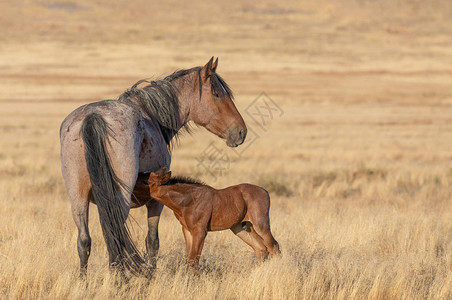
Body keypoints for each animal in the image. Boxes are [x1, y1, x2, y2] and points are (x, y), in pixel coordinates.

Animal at [59, 56, 247, 276]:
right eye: (217, 94)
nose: (241, 131)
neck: (151, 115)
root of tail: (93, 117)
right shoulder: (156, 202)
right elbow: (152, 242)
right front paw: (150, 276)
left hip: (78, 198)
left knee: (84, 241)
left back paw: (85, 280)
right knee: (115, 238)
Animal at [138, 168, 278, 268]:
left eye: (146, 181)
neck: (188, 200)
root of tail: (265, 191)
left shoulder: (200, 231)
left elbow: (193, 259)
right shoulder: (187, 231)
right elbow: (189, 259)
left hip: (261, 225)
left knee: (273, 246)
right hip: (241, 228)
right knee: (261, 248)